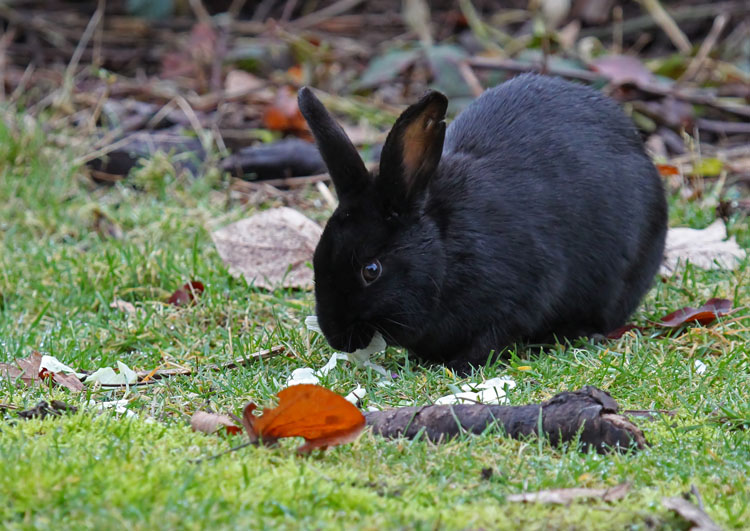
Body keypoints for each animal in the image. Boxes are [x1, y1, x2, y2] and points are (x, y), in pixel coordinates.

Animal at [300, 75, 668, 372]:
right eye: (315, 260)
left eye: (371, 270)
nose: (337, 339)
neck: (445, 252)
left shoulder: (521, 294)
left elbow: (493, 337)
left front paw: (461, 367)